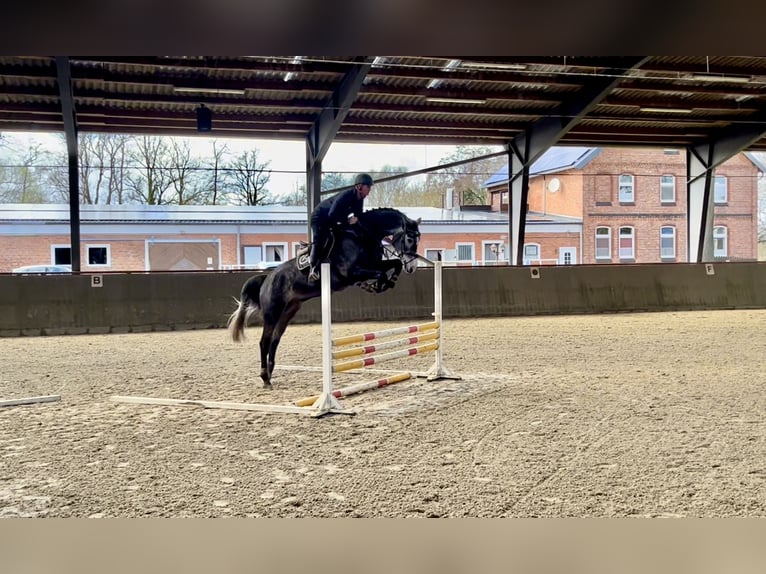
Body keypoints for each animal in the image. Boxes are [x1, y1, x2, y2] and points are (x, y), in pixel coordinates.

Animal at [228, 209, 424, 390]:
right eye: (409, 239)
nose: (412, 267)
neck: (363, 235)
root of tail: (267, 278)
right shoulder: (351, 273)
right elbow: (382, 273)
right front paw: (378, 285)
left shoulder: (372, 265)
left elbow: (394, 264)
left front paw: (388, 282)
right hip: (272, 312)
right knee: (264, 341)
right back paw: (265, 378)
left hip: (289, 311)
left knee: (275, 340)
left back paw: (270, 372)